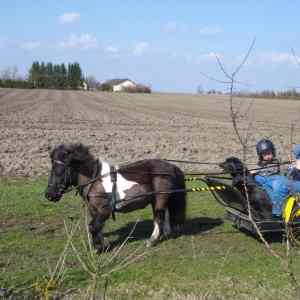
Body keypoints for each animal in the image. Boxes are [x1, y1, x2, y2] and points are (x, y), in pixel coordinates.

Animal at [44, 143, 186, 251]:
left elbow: (93, 227)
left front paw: (99, 247)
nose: (49, 195)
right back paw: (166, 233)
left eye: (60, 170)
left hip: (160, 198)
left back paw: (152, 240)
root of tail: (171, 167)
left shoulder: (105, 210)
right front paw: (103, 243)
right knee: (165, 213)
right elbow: (97, 227)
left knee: (159, 217)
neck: (95, 179)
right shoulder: (94, 210)